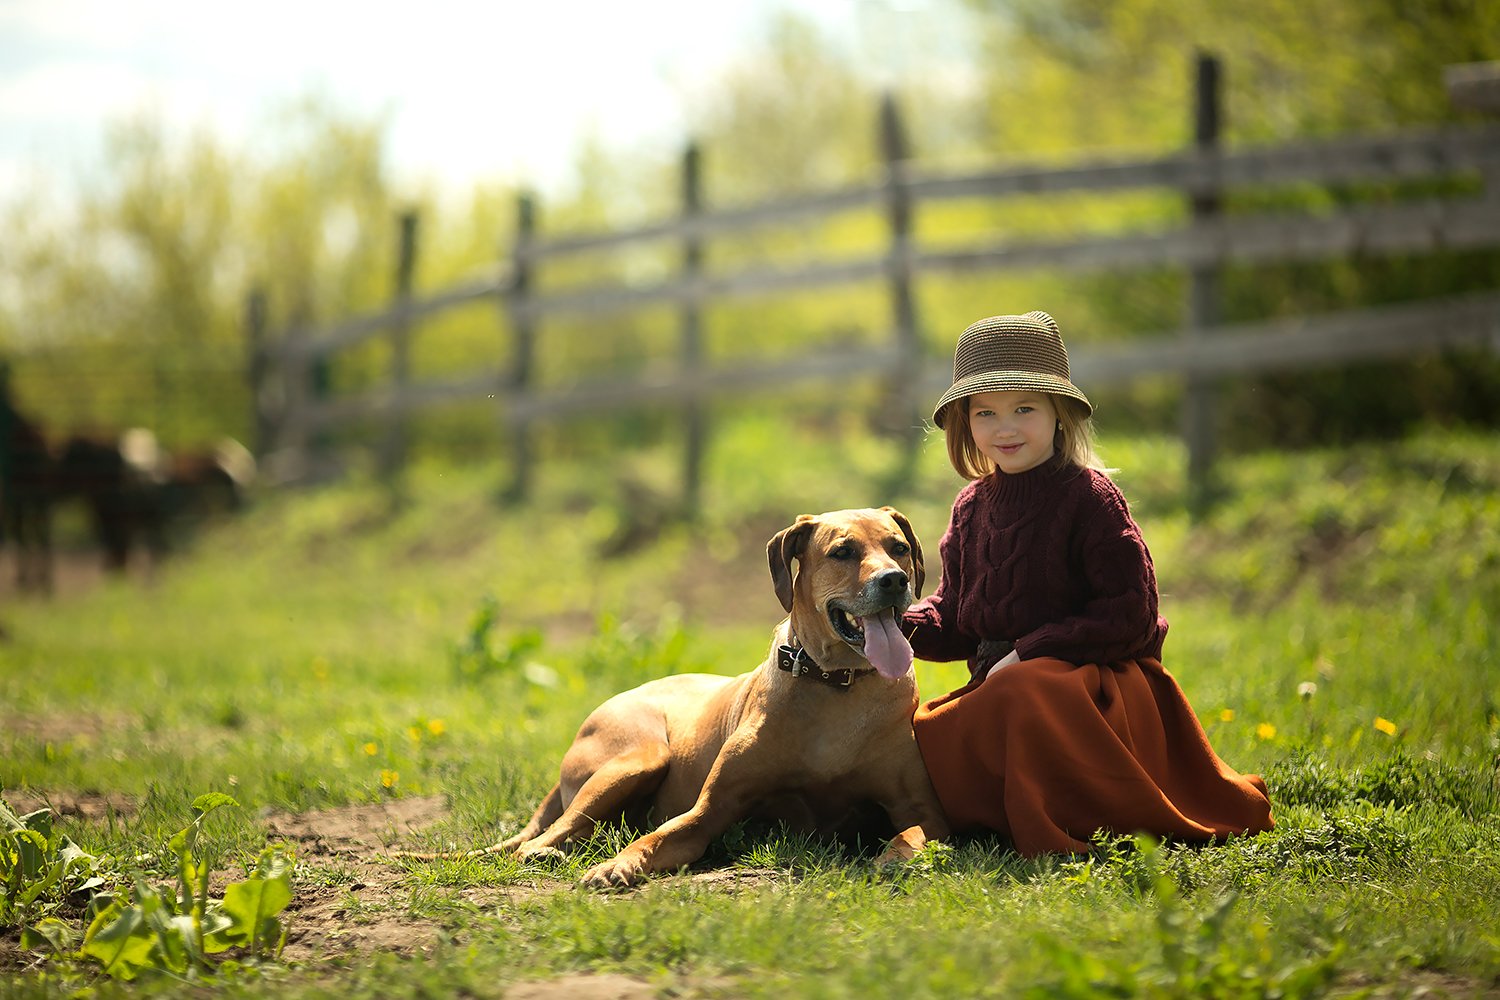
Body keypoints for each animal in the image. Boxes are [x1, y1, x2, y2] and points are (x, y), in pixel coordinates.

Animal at [492, 509, 948, 881]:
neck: (836, 683)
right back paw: (543, 853)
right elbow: (660, 836)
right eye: (843, 552)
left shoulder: (923, 809)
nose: (894, 580)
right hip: (635, 758)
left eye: (899, 548)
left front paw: (895, 856)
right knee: (550, 833)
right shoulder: (710, 809)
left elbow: (915, 831)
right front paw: (617, 865)